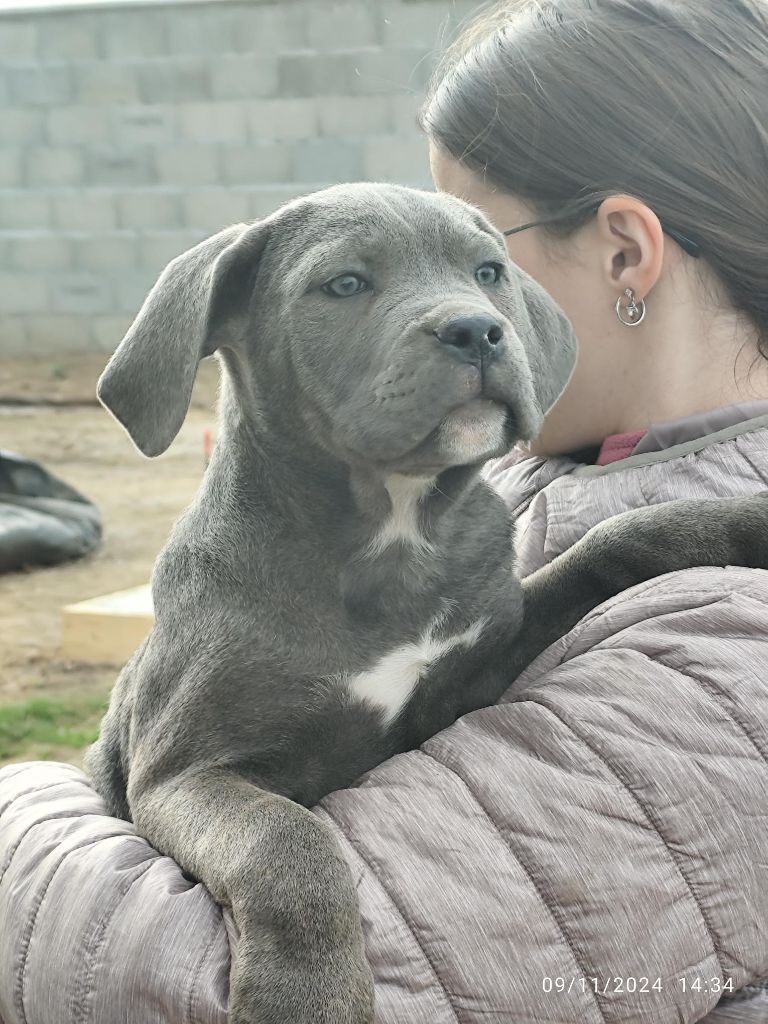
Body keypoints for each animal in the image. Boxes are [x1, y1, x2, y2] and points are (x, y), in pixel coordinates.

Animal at [85, 184, 768, 1024]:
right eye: (344, 284)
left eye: (488, 272)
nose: (476, 329)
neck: (394, 532)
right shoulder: (181, 771)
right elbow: (285, 840)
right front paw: (305, 997)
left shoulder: (478, 667)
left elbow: (613, 540)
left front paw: (744, 522)